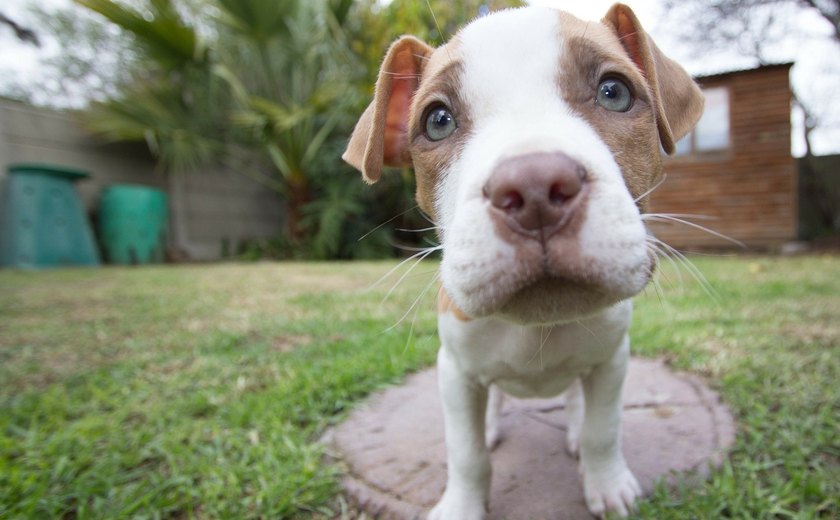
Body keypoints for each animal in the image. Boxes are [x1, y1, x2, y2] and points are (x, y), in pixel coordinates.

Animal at [342, 4, 704, 520]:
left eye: (614, 92)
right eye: (438, 121)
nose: (534, 187)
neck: (536, 326)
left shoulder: (612, 360)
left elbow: (602, 430)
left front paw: (607, 485)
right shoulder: (454, 372)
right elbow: (466, 452)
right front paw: (462, 505)